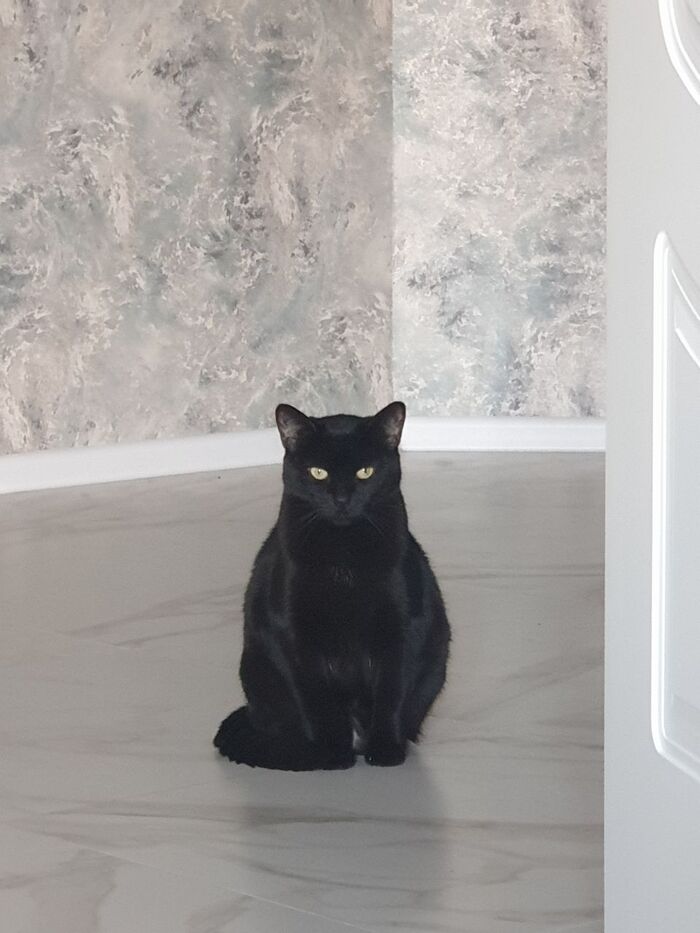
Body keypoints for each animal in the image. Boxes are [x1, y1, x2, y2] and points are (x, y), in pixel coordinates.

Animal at [213, 401, 450, 770]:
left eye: (365, 472)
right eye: (318, 473)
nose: (341, 499)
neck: (343, 559)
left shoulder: (400, 626)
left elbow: (392, 690)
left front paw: (385, 750)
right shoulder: (293, 630)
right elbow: (316, 697)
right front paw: (331, 753)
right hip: (256, 668)